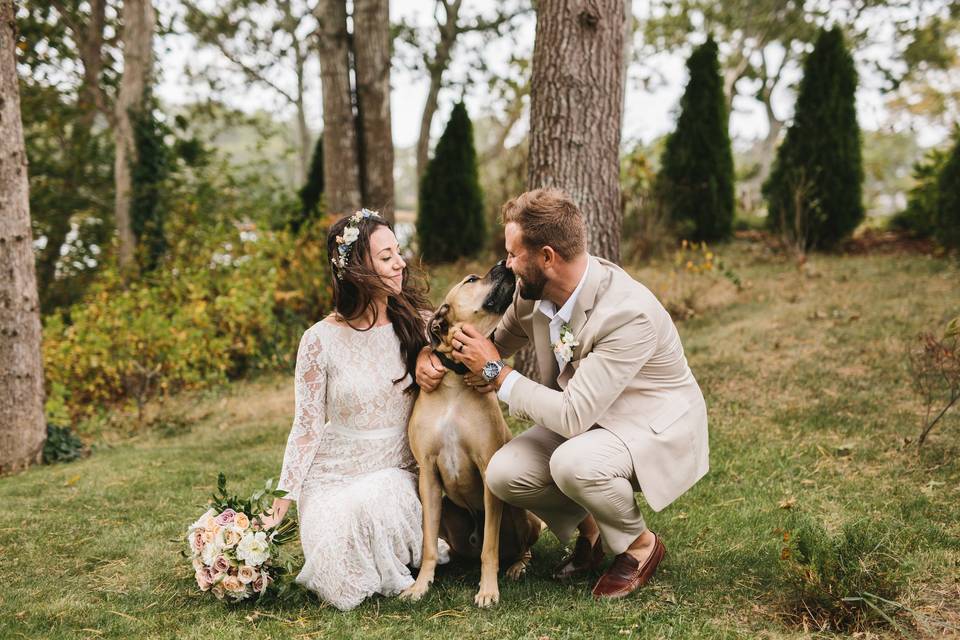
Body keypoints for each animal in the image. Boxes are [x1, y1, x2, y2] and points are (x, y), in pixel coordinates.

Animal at [400, 262, 540, 608]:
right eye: (472, 280)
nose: (504, 262)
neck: (455, 380)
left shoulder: (487, 467)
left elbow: (490, 548)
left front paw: (488, 589)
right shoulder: (428, 476)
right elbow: (428, 545)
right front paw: (421, 585)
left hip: (520, 513)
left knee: (519, 547)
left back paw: (517, 566)